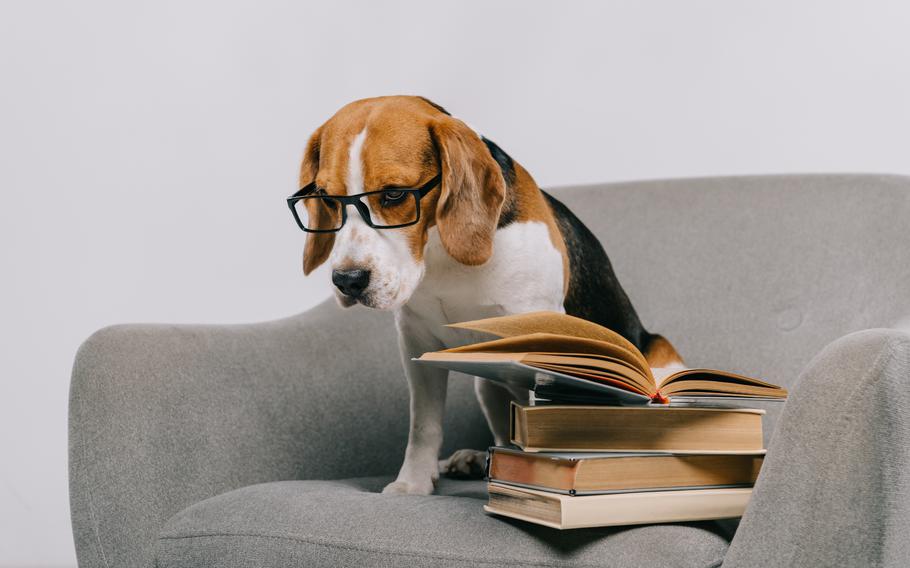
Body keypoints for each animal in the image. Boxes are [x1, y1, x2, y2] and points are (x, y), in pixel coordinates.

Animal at [292, 97, 684, 496]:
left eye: (394, 193)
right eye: (326, 198)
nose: (348, 281)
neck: (441, 254)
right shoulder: (416, 342)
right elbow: (423, 425)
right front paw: (412, 484)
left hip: (661, 365)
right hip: (485, 382)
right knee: (504, 438)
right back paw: (476, 460)